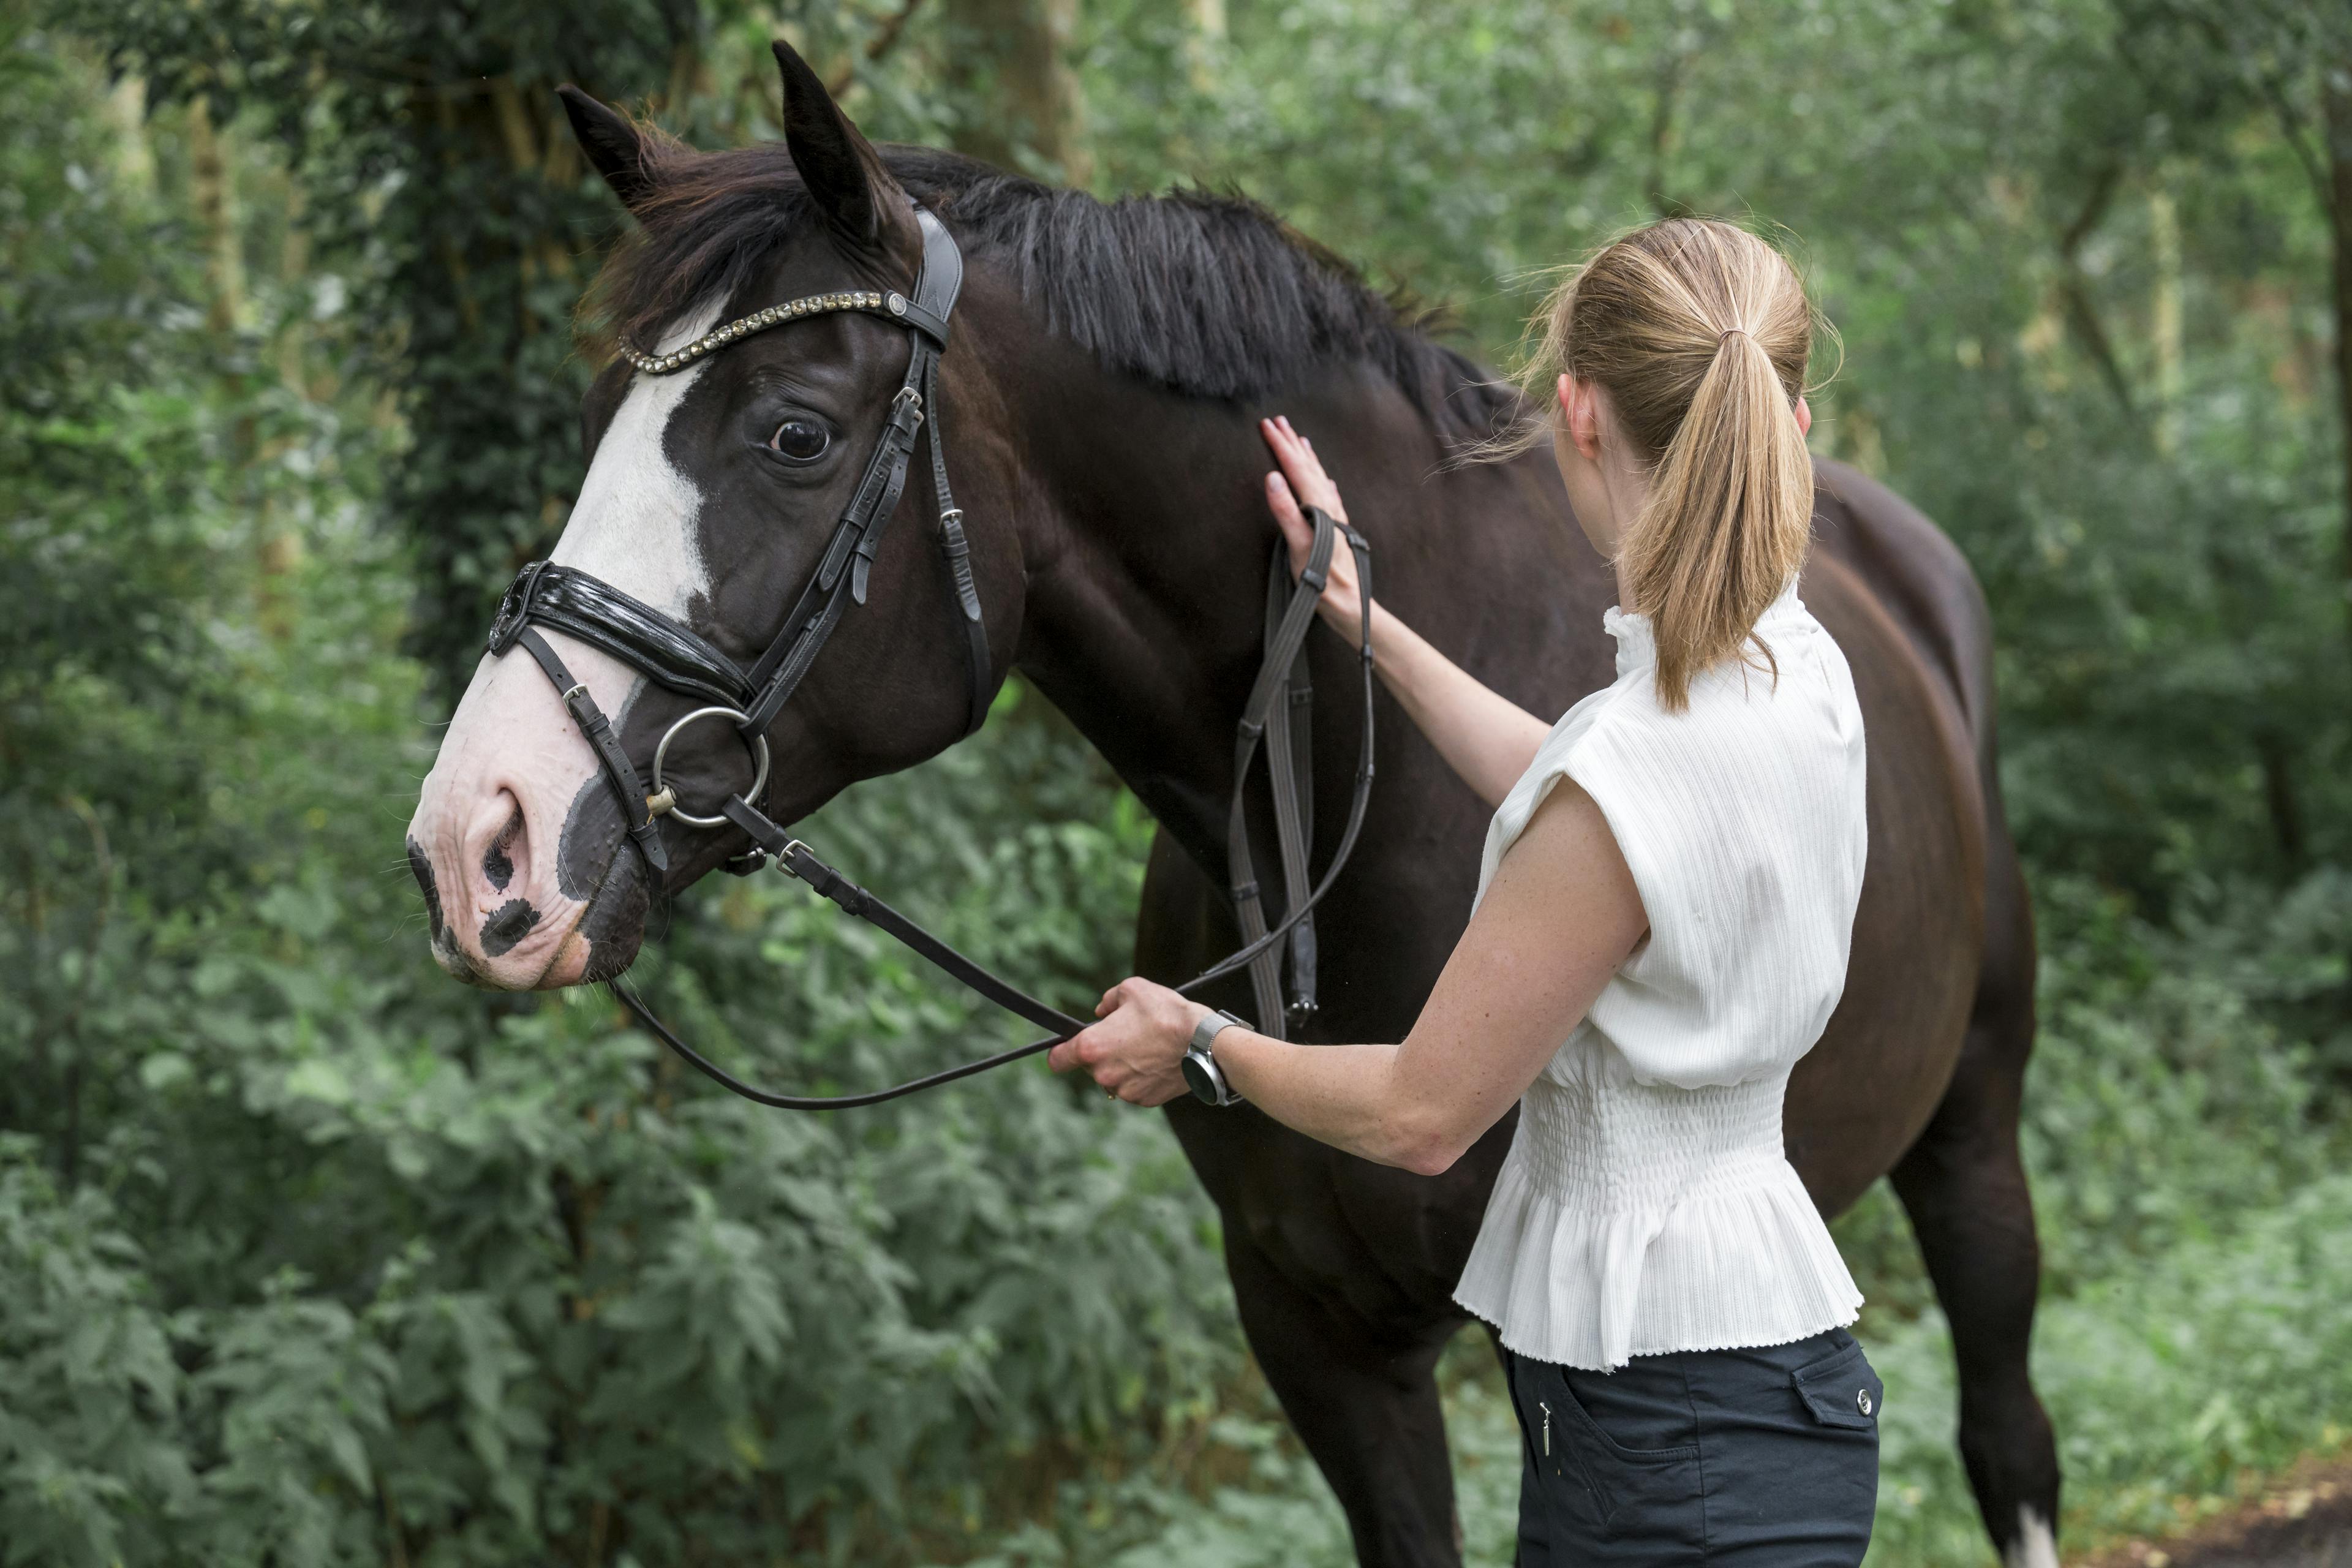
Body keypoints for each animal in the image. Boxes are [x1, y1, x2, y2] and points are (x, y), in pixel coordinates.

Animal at [404, 46, 2060, 1568]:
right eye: (605, 414)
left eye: (794, 433)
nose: (473, 844)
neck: (1355, 818)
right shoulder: (1309, 1325)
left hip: (1971, 1129)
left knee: (2008, 1440)